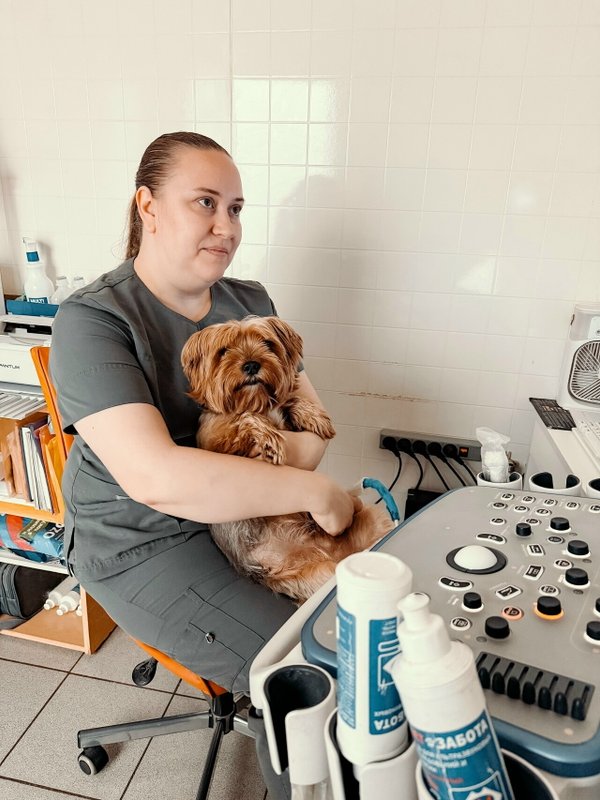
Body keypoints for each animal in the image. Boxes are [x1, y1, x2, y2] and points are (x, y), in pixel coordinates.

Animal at [181, 316, 395, 602]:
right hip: (316, 573)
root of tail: (336, 555)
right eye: (223, 351)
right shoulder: (214, 442)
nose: (251, 364)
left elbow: (289, 399)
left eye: (267, 343)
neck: (256, 400)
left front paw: (315, 416)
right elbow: (243, 418)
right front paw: (269, 438)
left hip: (371, 522)